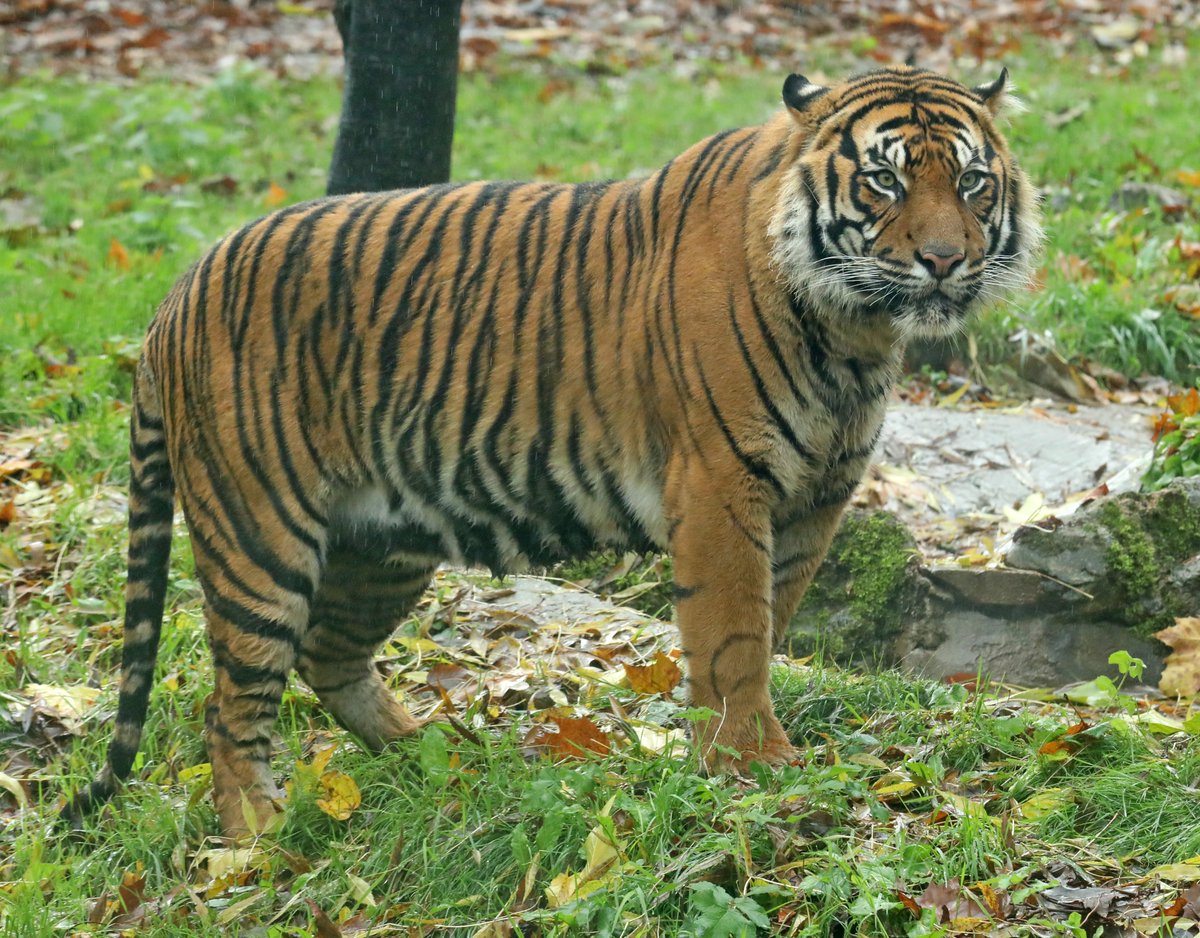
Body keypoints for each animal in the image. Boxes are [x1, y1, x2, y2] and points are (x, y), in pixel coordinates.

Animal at [64, 66, 1040, 836]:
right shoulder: (722, 488)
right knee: (229, 702)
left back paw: (434, 759)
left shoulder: (816, 498)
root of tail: (174, 294)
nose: (946, 261)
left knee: (328, 656)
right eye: (882, 182)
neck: (852, 329)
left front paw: (746, 755)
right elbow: (734, 637)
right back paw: (260, 837)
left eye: (971, 182)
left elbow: (770, 625)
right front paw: (750, 770)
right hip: (259, 536)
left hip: (379, 542)